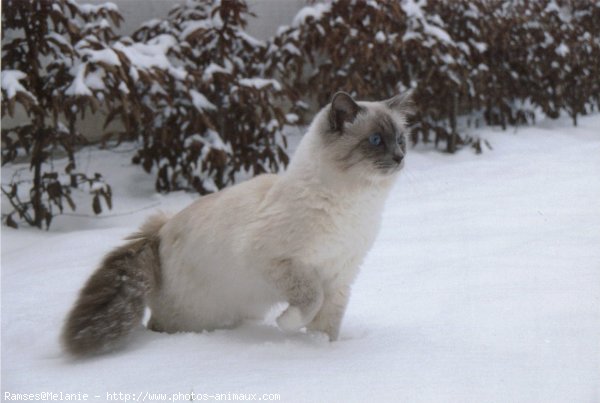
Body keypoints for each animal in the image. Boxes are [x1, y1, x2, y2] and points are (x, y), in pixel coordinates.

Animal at [63, 91, 414, 356]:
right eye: (376, 140)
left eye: (400, 140)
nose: (400, 158)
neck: (356, 205)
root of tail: (161, 228)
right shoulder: (283, 264)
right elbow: (308, 301)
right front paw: (287, 325)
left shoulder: (339, 278)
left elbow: (326, 324)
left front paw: (320, 350)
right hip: (193, 314)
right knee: (157, 326)